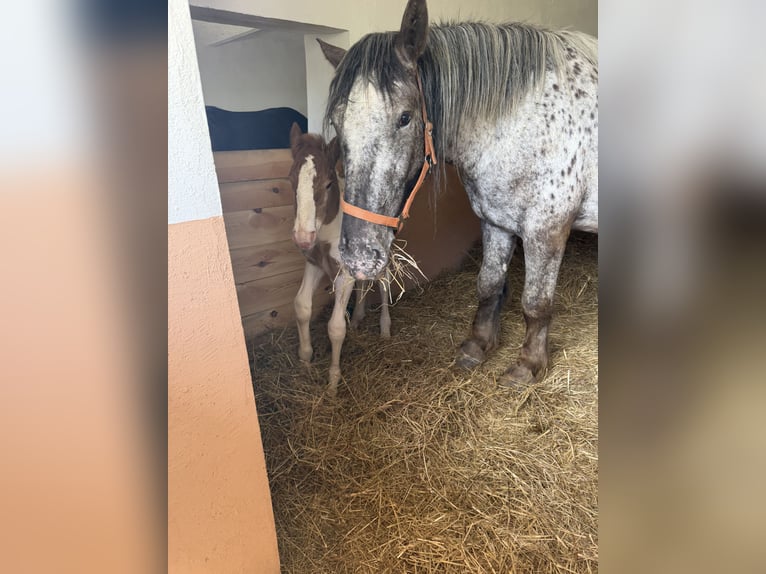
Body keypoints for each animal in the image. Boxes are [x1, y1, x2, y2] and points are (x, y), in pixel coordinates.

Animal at [288, 122, 392, 397]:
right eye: (291, 180)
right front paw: (305, 360)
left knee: (384, 284)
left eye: (328, 183)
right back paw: (357, 318)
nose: (303, 237)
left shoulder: (343, 274)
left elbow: (335, 328)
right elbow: (302, 306)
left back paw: (385, 329)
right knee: (364, 283)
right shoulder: (314, 264)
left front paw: (333, 382)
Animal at [319, 0, 598, 387]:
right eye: (337, 122)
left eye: (405, 118)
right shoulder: (496, 222)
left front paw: (528, 365)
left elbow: (536, 302)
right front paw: (477, 346)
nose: (358, 258)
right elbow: (489, 284)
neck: (523, 122)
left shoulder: (547, 230)